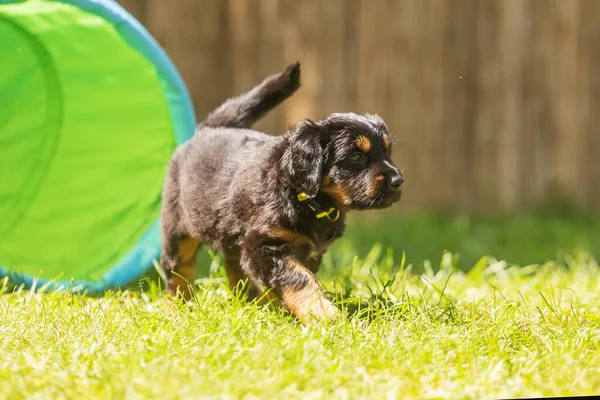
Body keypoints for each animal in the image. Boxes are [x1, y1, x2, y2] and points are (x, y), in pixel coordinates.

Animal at [161, 62, 404, 324]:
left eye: (388, 153)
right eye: (356, 156)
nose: (398, 181)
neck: (309, 200)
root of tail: (209, 129)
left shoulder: (299, 250)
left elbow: (287, 281)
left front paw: (279, 310)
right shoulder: (262, 243)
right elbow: (300, 279)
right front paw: (325, 316)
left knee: (234, 264)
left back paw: (249, 303)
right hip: (177, 227)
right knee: (179, 269)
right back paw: (176, 307)